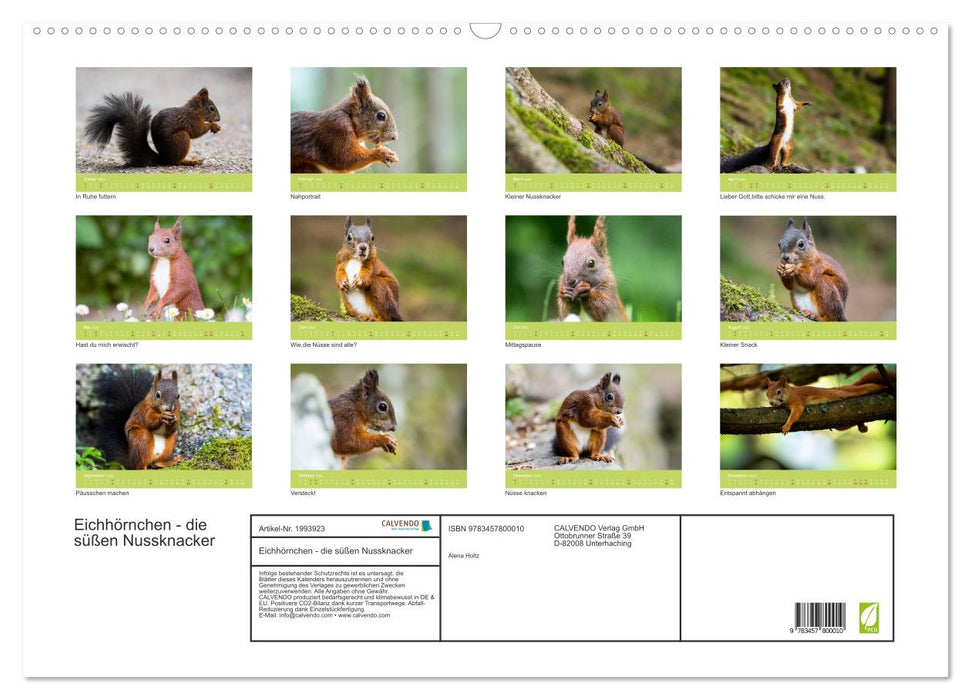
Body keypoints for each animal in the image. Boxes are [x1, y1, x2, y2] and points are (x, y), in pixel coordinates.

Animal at [84, 88, 221, 167]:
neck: (196, 110)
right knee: (175, 162)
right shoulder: (191, 119)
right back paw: (190, 161)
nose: (219, 119)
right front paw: (214, 125)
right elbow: (196, 131)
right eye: (212, 108)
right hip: (181, 138)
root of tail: (163, 158)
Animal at [765, 370, 894, 435]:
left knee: (870, 387)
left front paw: (787, 425)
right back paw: (861, 426)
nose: (771, 403)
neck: (790, 392)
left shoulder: (797, 400)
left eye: (778, 392)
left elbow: (797, 411)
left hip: (849, 391)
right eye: (767, 394)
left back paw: (886, 386)